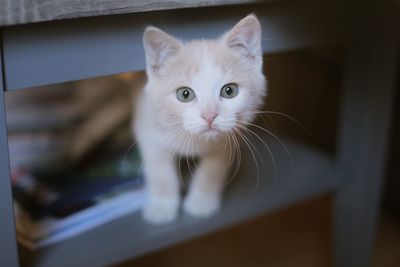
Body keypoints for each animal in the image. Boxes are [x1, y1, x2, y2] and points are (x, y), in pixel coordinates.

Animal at [133, 14, 268, 224]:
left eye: (229, 91)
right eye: (185, 94)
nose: (209, 115)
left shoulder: (227, 140)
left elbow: (212, 169)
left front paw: (201, 202)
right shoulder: (148, 125)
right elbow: (159, 170)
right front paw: (162, 206)